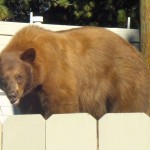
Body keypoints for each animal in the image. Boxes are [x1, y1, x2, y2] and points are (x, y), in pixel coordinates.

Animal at [0, 25, 150, 119]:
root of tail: (135, 51)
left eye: (19, 76)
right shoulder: (30, 94)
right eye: (3, 78)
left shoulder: (57, 73)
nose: (12, 95)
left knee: (129, 106)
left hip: (124, 77)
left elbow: (62, 104)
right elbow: (32, 110)